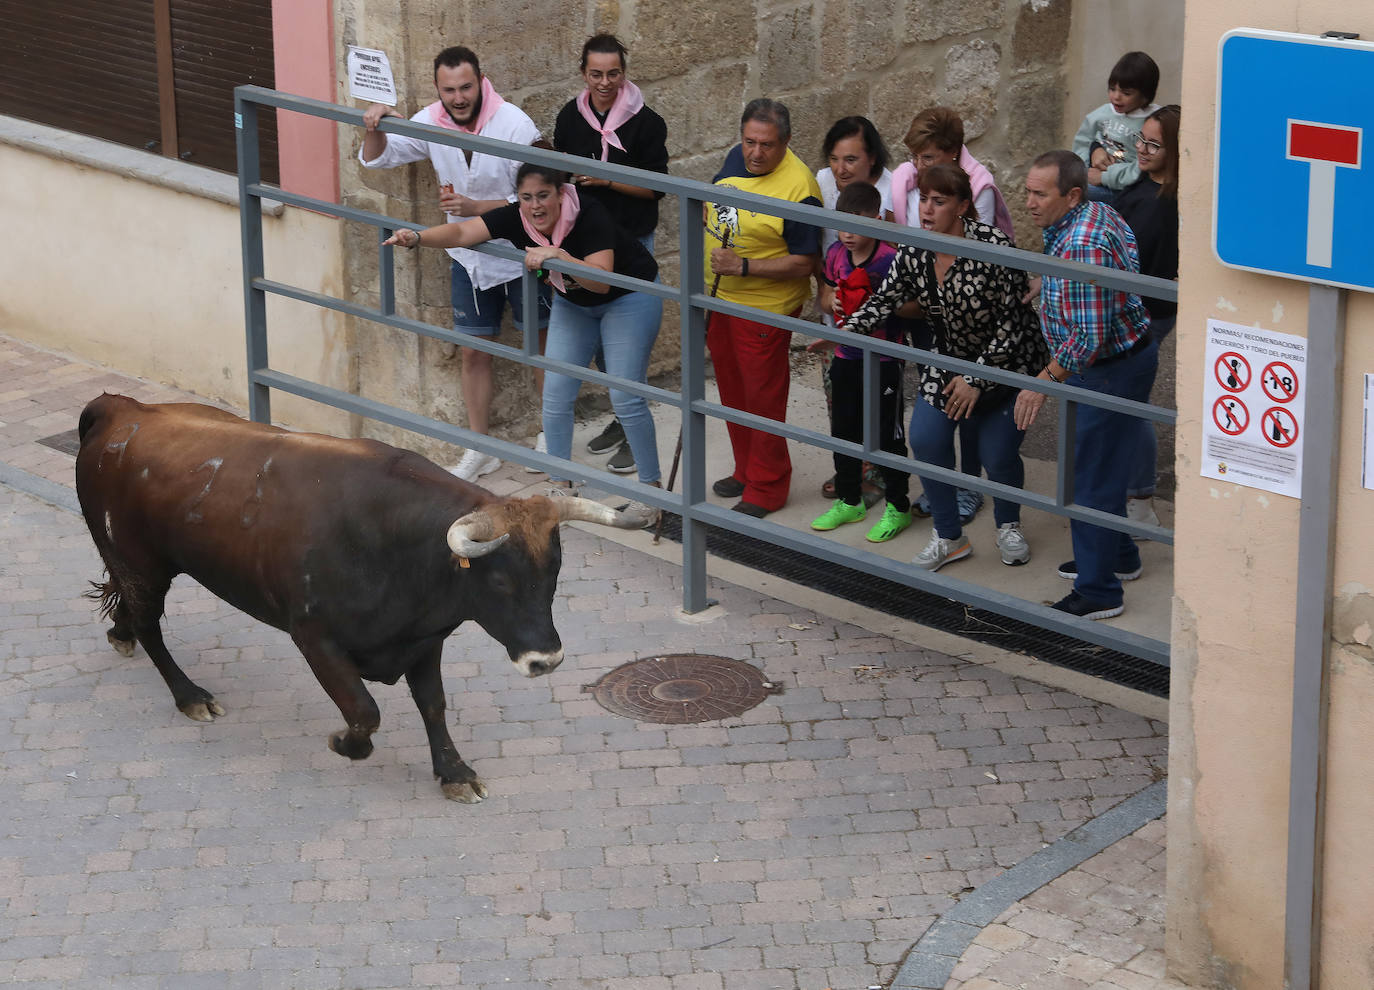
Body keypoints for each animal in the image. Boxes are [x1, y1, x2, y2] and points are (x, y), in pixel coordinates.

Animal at [79, 389, 643, 801]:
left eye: (554, 572)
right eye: (500, 581)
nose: (546, 660)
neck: (396, 544)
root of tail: (123, 410)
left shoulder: (424, 640)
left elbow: (434, 704)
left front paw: (454, 772)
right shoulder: (314, 638)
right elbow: (364, 710)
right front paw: (344, 744)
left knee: (129, 611)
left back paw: (121, 634)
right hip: (141, 566)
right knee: (149, 622)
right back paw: (189, 695)